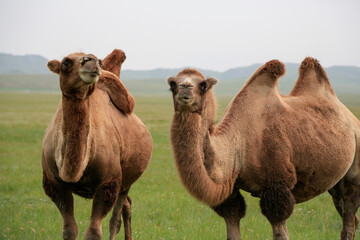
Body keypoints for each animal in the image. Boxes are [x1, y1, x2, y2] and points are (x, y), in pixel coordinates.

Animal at [42, 48, 152, 240]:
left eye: (99, 61)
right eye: (66, 62)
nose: (92, 61)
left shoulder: (109, 183)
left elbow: (94, 232)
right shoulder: (54, 184)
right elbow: (69, 230)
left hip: (127, 179)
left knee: (116, 217)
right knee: (127, 205)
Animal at [167, 58, 360, 240]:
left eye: (203, 85)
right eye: (172, 84)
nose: (185, 89)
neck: (238, 145)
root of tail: (352, 119)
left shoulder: (276, 185)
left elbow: (281, 233)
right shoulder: (231, 191)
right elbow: (232, 220)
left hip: (354, 171)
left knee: (349, 217)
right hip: (334, 183)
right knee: (349, 215)